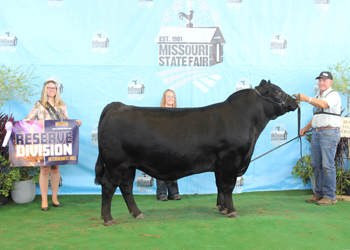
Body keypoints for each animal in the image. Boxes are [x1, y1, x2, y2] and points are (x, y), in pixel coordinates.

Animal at [95, 80, 298, 227]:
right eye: (277, 91)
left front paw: (222, 208)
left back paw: (138, 213)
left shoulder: (220, 165)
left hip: (129, 165)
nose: (295, 101)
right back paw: (108, 219)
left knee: (126, 187)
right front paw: (232, 211)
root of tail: (117, 106)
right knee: (109, 186)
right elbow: (229, 186)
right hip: (115, 164)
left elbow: (220, 185)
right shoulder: (231, 159)